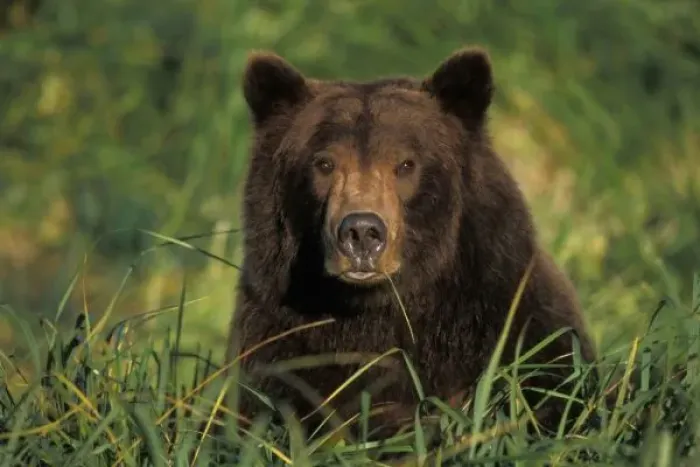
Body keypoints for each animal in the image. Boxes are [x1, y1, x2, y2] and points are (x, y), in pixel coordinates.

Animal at [223, 46, 597, 442]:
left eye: (405, 164)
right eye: (324, 163)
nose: (361, 232)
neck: (375, 309)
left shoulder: (510, 324)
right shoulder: (278, 340)